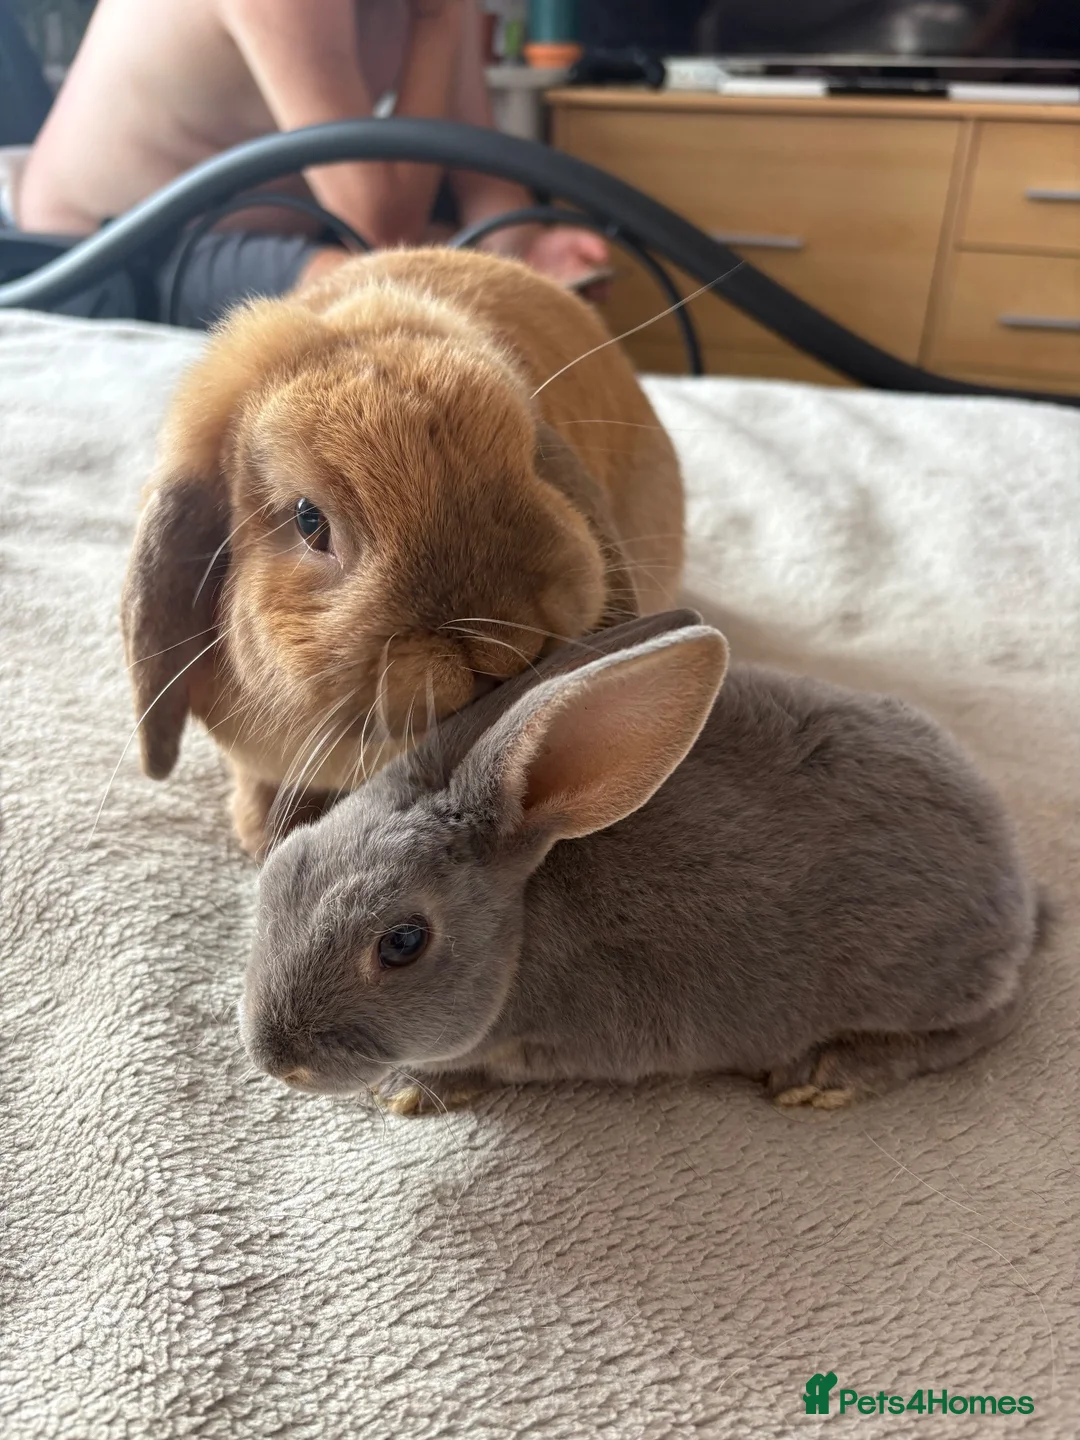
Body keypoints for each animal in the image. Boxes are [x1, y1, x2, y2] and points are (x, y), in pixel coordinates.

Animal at [240, 608, 1040, 1114]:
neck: (523, 923)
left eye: (403, 943)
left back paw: (827, 1075)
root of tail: (1016, 886)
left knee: (988, 1021)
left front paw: (408, 1090)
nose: (277, 1058)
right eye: (278, 872)